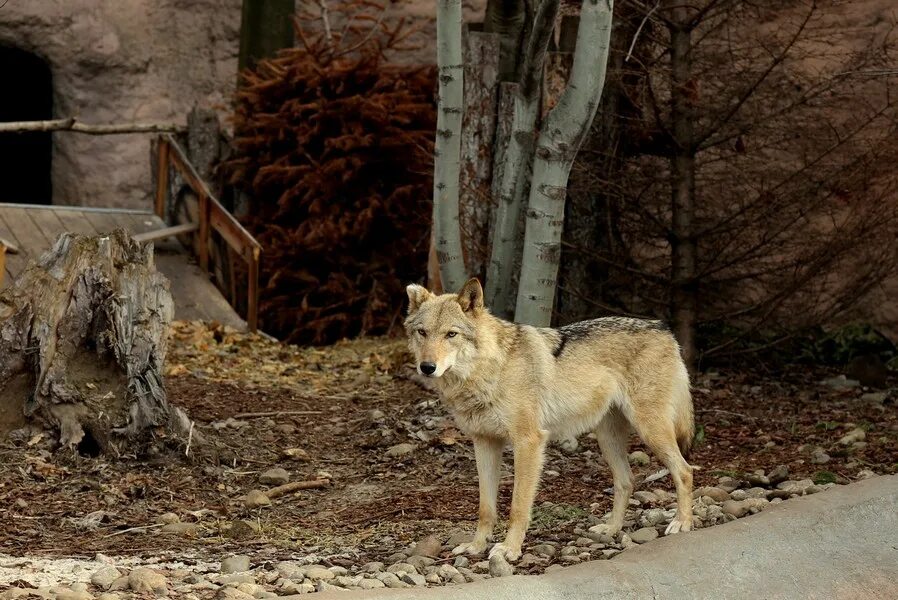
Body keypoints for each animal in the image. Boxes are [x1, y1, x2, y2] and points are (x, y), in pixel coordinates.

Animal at [404, 278, 692, 560]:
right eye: (423, 332)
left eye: (451, 334)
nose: (427, 367)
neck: (490, 369)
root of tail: (663, 328)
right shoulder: (484, 443)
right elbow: (485, 508)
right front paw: (476, 546)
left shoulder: (528, 442)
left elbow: (518, 506)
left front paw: (509, 549)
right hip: (607, 439)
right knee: (626, 481)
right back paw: (611, 529)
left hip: (650, 430)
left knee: (685, 470)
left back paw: (682, 523)